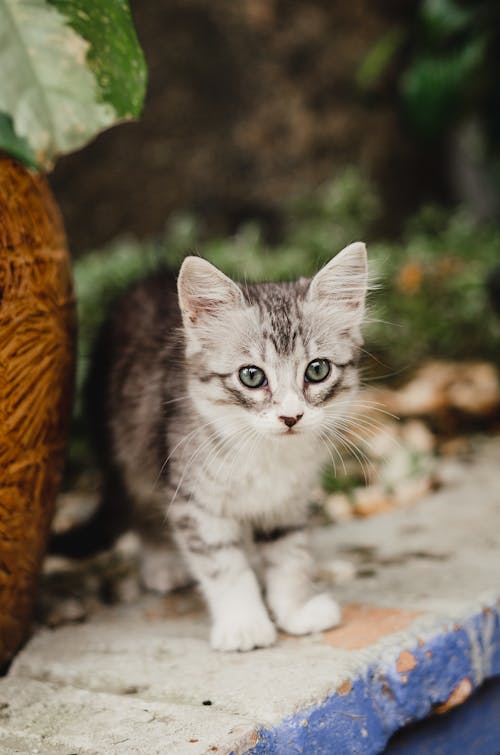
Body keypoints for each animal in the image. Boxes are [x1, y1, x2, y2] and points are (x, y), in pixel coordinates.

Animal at [54, 241, 370, 648]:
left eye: (317, 370)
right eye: (251, 376)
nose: (291, 416)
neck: (265, 454)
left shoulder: (289, 499)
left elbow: (289, 553)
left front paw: (295, 608)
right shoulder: (194, 500)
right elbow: (224, 565)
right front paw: (244, 623)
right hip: (129, 450)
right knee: (141, 508)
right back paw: (163, 564)